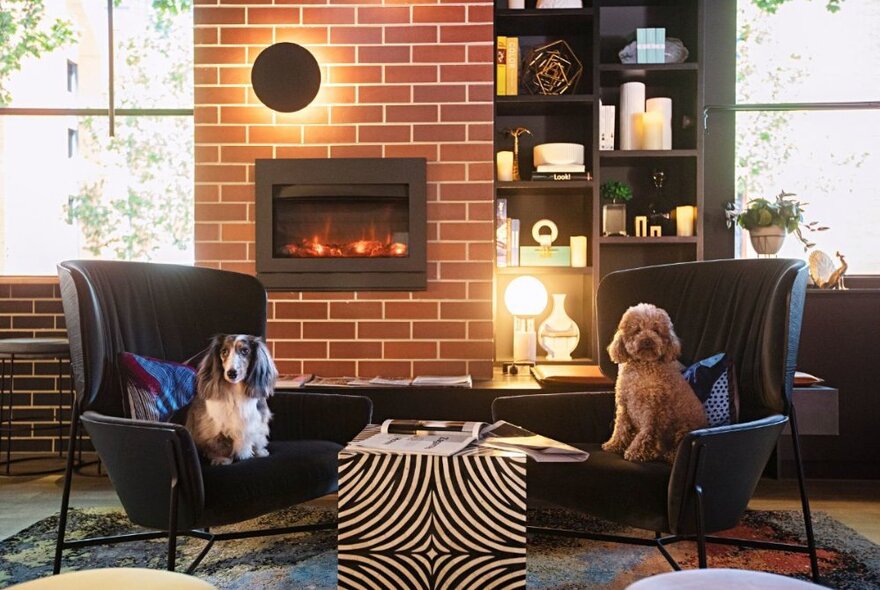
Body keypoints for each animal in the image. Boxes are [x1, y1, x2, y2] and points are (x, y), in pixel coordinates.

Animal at [604, 302, 708, 464]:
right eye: (637, 330)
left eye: (656, 330)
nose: (647, 340)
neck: (643, 366)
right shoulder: (624, 406)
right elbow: (620, 427)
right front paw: (614, 445)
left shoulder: (651, 410)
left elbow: (645, 433)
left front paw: (635, 452)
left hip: (682, 430)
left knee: (674, 449)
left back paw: (665, 454)